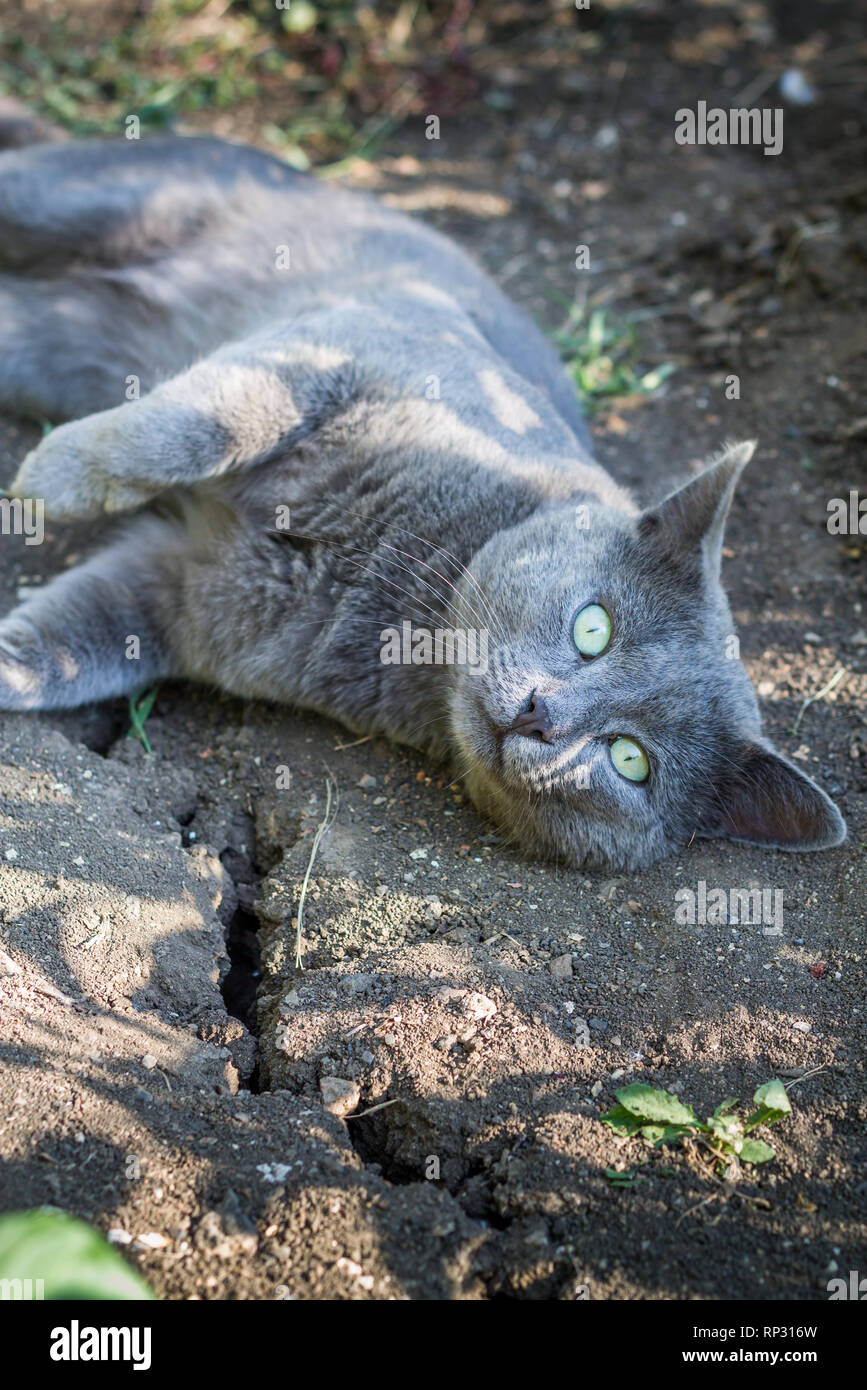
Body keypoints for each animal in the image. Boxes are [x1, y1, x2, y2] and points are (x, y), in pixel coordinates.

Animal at [0, 127, 844, 867]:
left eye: (630, 760)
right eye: (593, 627)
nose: (541, 715)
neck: (389, 582)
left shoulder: (185, 590)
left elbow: (75, 642)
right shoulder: (345, 349)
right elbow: (199, 426)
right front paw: (54, 476)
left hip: (43, 338)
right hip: (90, 199)